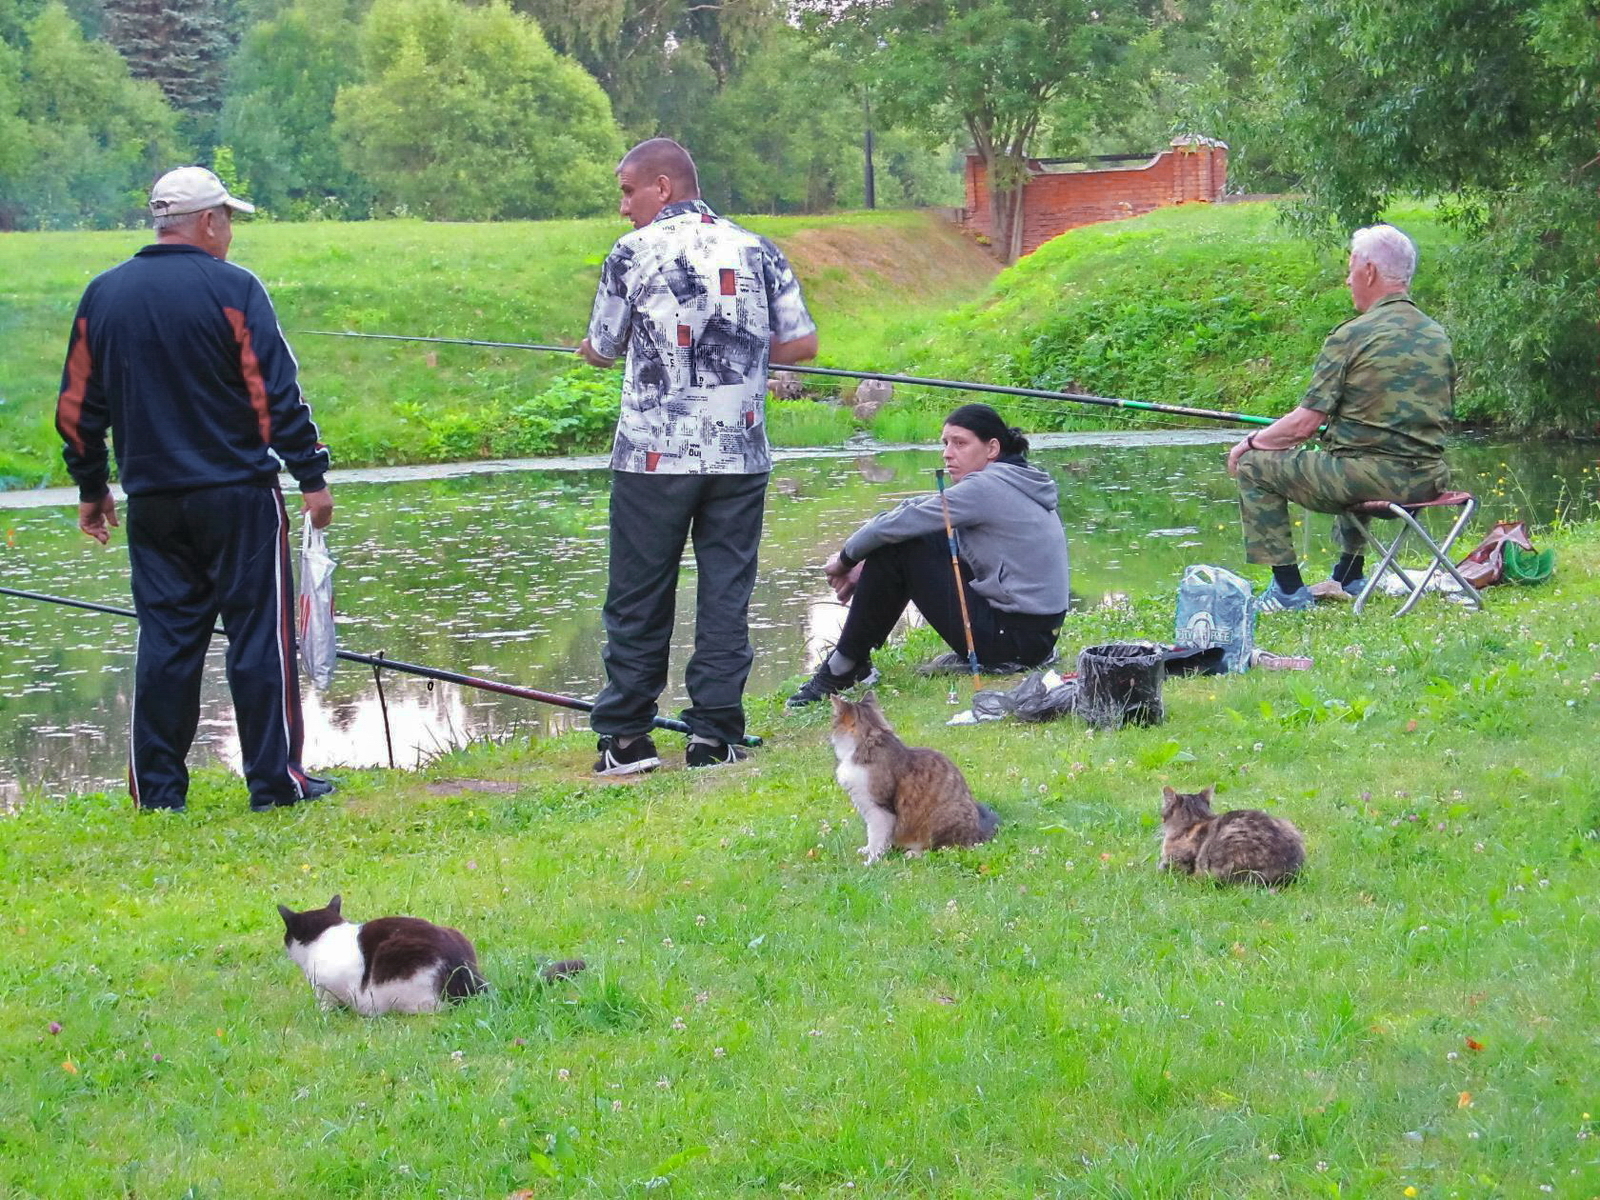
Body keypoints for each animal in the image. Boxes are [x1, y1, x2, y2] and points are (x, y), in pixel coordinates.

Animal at [832, 694, 992, 864]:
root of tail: (980, 834)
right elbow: (871, 836)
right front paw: (867, 850)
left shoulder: (878, 808)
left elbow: (876, 837)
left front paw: (872, 861)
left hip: (939, 823)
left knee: (941, 849)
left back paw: (913, 853)